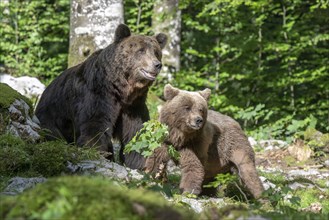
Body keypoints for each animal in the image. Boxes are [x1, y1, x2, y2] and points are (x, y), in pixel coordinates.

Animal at [35, 23, 167, 168]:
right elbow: (95, 124)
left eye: (156, 52)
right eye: (141, 50)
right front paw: (96, 153)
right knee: (52, 134)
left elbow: (135, 132)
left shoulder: (134, 106)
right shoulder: (98, 95)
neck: (121, 89)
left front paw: (139, 162)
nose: (157, 64)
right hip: (51, 116)